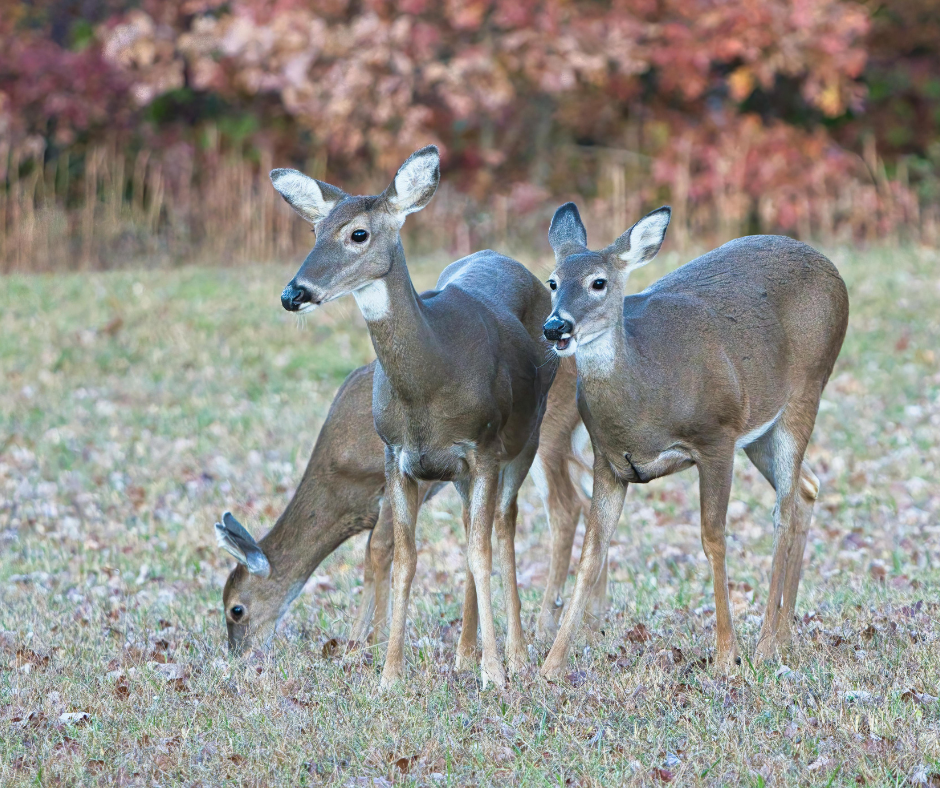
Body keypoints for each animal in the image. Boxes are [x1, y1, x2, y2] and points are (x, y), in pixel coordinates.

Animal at [216, 358, 590, 655]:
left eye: (236, 609)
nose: (239, 653)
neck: (342, 478)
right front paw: (360, 639)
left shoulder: (410, 475)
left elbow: (379, 549)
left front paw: (371, 640)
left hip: (547, 435)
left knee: (566, 508)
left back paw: (545, 625)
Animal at [270, 145, 558, 688]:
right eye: (315, 231)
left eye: (358, 233)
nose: (293, 294)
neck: (431, 383)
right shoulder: (397, 456)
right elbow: (404, 561)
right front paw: (389, 674)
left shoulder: (482, 448)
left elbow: (482, 554)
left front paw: (495, 674)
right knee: (472, 526)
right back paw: (464, 653)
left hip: (525, 436)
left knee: (503, 528)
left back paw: (515, 653)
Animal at [539, 202, 849, 680]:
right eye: (552, 282)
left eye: (598, 282)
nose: (556, 327)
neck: (645, 395)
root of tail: (831, 268)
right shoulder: (607, 461)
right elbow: (592, 551)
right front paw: (551, 666)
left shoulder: (716, 436)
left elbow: (713, 538)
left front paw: (726, 656)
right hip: (761, 427)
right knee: (806, 488)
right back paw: (784, 637)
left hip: (807, 388)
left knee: (784, 510)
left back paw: (764, 646)